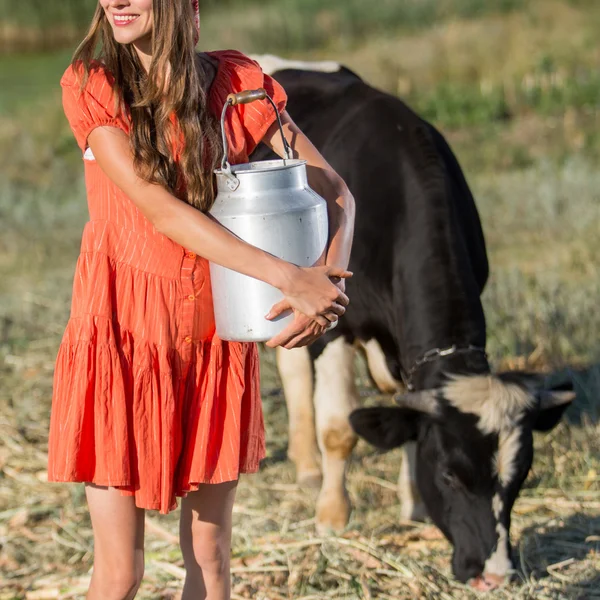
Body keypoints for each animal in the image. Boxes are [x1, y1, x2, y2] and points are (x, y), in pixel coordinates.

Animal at [248, 54, 576, 588]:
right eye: (449, 474)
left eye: (520, 476)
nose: (495, 574)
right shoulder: (335, 324)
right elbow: (338, 427)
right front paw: (333, 515)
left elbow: (405, 411)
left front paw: (414, 504)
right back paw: (308, 469)